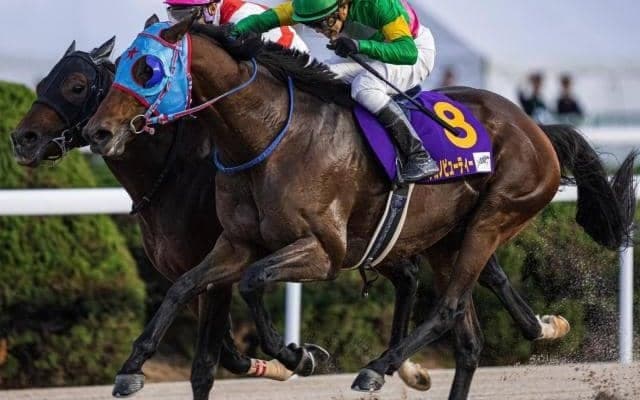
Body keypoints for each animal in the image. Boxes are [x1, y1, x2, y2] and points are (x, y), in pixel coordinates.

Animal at [82, 18, 635, 399]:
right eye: (121, 65)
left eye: (146, 69)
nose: (97, 132)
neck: (265, 134)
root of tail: (535, 127)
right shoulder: (235, 242)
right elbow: (182, 286)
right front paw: (132, 367)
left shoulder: (324, 251)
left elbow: (255, 281)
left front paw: (298, 353)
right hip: (446, 236)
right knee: (468, 338)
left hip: (494, 217)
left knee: (449, 306)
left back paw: (378, 367)